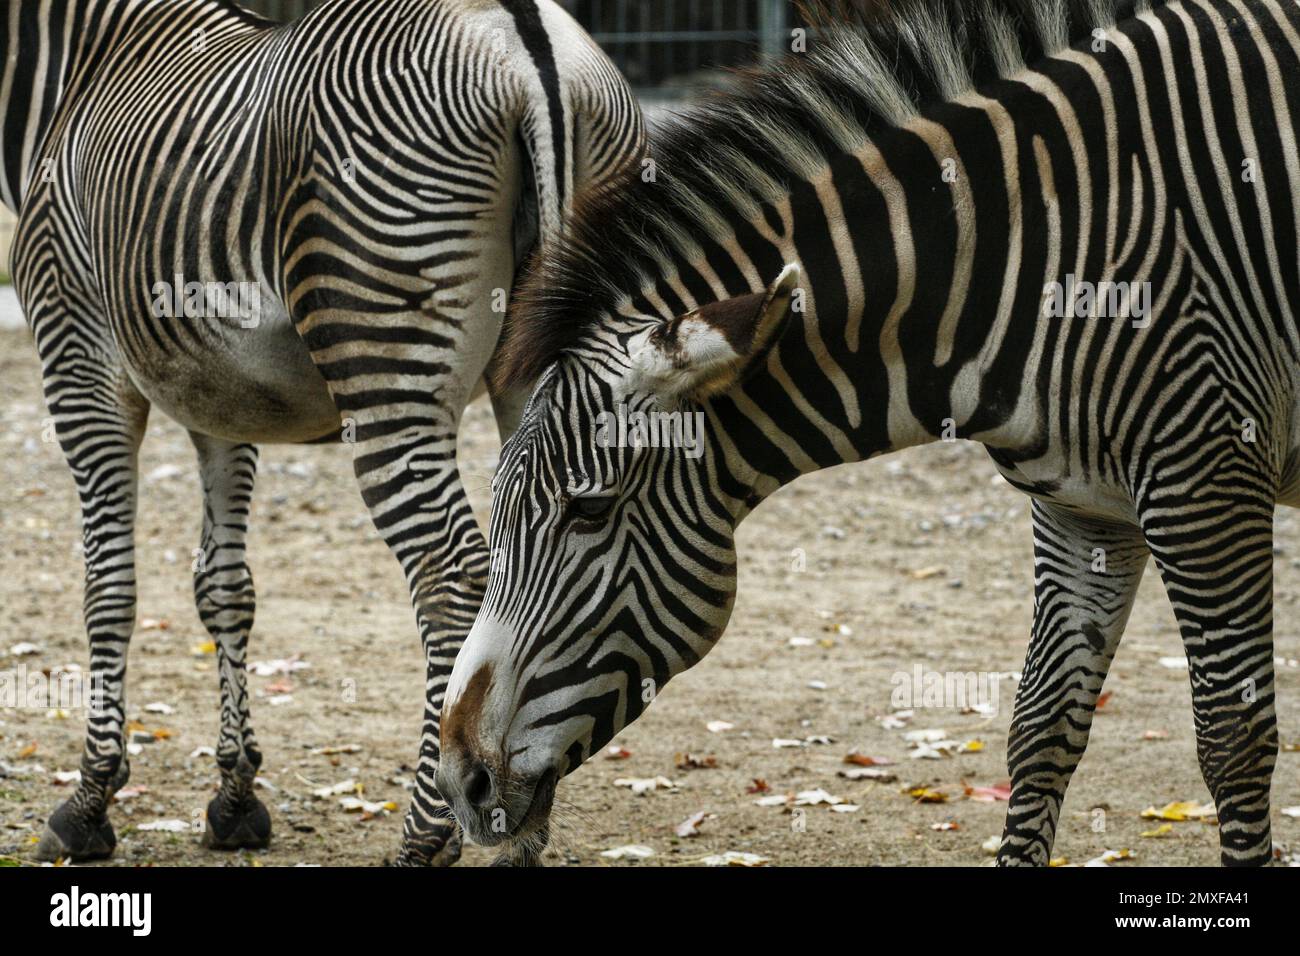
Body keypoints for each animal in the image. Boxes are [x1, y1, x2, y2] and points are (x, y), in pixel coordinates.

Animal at [2, 0, 642, 865]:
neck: (81, 59)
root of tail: (521, 35)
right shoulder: (217, 394)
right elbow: (224, 587)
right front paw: (235, 797)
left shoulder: (78, 356)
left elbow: (108, 586)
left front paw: (89, 801)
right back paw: (520, 832)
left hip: (384, 358)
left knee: (452, 577)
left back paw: (428, 835)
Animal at [435, 0, 1299, 866]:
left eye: (588, 510)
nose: (461, 781)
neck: (1042, 257)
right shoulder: (1083, 508)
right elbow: (1041, 726)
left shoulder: (1208, 480)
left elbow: (1233, 738)